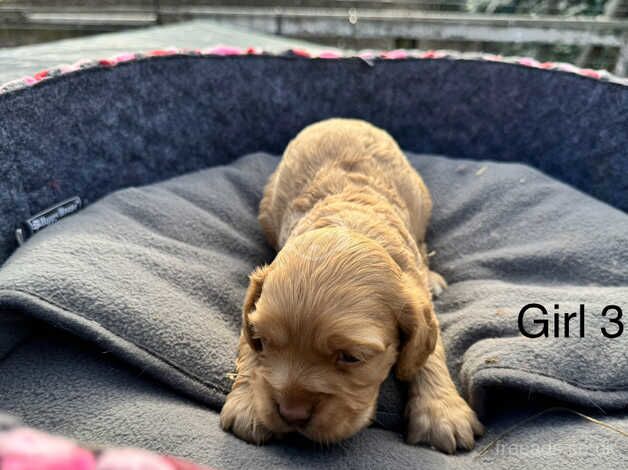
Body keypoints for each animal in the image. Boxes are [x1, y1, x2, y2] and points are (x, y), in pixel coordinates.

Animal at [221, 119, 486, 454]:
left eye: (351, 357)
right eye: (264, 341)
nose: (292, 414)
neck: (349, 223)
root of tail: (342, 119)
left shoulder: (419, 301)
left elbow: (430, 354)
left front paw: (442, 414)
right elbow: (246, 347)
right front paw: (248, 405)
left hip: (420, 199)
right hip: (268, 207)